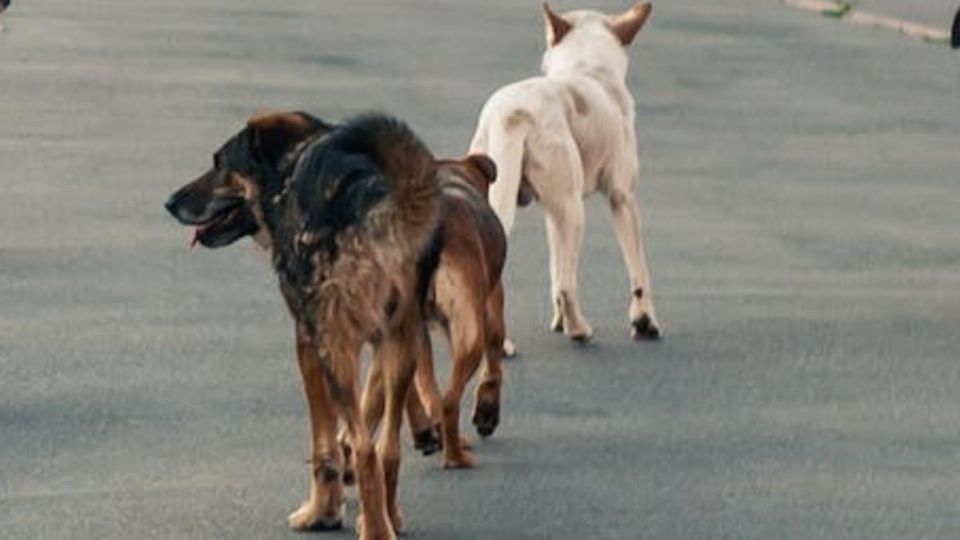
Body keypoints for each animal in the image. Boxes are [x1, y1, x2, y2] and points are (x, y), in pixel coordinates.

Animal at [468, 3, 664, 342]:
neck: (587, 69)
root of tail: (512, 114)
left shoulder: (552, 215)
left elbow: (554, 268)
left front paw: (557, 321)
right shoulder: (623, 199)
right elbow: (639, 271)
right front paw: (644, 320)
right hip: (575, 213)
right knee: (567, 285)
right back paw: (578, 329)